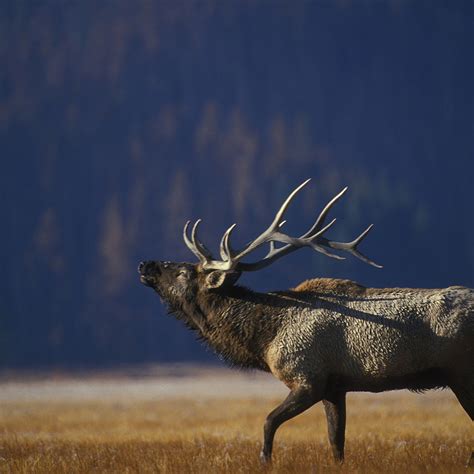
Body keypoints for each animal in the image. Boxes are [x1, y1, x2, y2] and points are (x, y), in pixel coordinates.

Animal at [139, 178, 472, 462]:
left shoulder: (307, 378)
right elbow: (336, 443)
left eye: (183, 272)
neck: (265, 339)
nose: (145, 264)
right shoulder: (335, 388)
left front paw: (265, 461)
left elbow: (268, 422)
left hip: (462, 374)